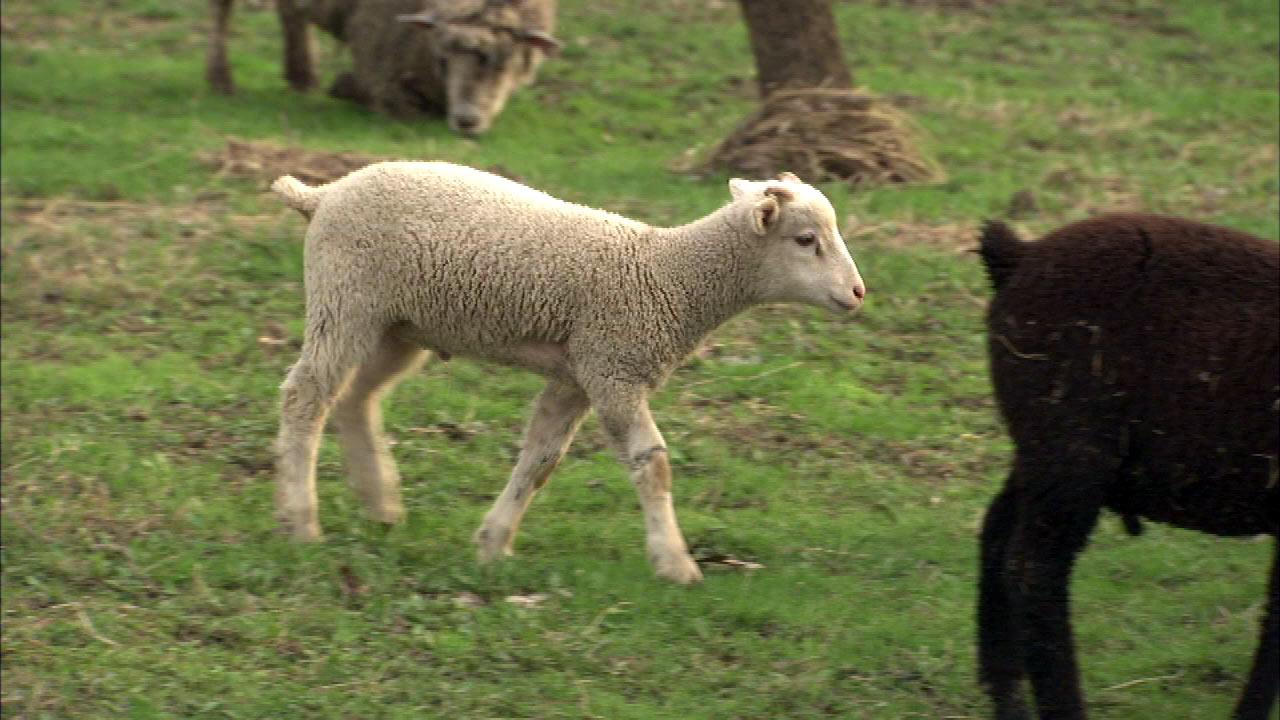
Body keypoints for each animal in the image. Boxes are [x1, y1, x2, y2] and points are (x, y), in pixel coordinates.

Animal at [206, 0, 560, 136]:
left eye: (505, 59)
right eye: (443, 57)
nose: (466, 121)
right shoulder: (376, 48)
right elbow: (403, 107)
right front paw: (344, 85)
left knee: (289, 11)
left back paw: (302, 76)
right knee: (220, 10)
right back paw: (220, 80)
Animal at [269, 161, 867, 584]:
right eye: (806, 240)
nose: (859, 293)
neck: (668, 275)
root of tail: (323, 194)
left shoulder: (577, 375)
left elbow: (541, 460)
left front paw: (493, 543)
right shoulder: (613, 369)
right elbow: (652, 465)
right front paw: (675, 564)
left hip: (397, 327)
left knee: (355, 399)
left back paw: (382, 504)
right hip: (346, 298)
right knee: (305, 397)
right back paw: (301, 522)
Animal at [975, 213, 1278, 720]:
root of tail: (1020, 256)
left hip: (1041, 448)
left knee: (997, 538)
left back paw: (1007, 697)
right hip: (1071, 450)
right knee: (1033, 570)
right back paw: (1061, 706)